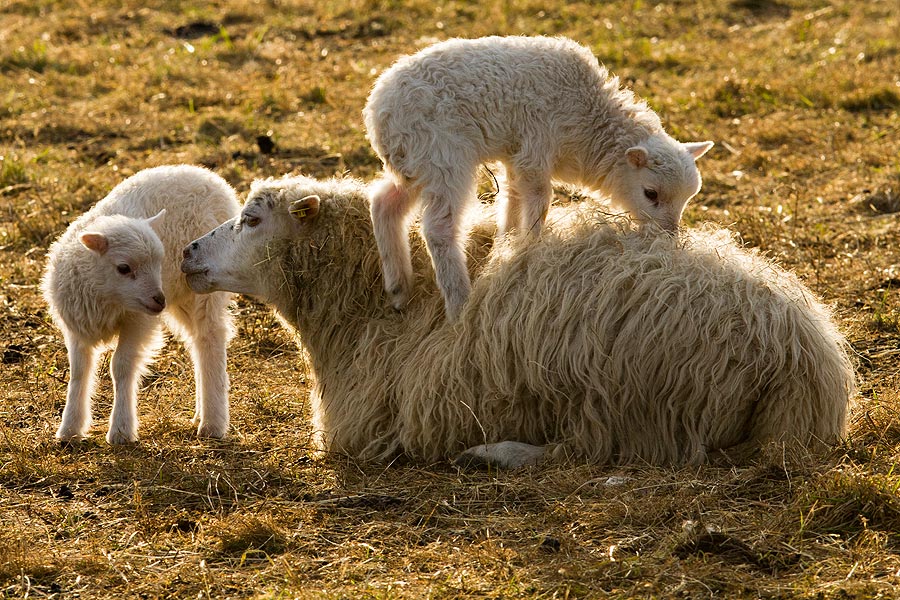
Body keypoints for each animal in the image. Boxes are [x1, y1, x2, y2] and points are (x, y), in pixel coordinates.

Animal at [42, 164, 241, 446]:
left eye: (159, 262)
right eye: (124, 268)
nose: (159, 299)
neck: (108, 298)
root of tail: (209, 175)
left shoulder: (138, 320)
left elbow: (121, 366)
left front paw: (121, 430)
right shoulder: (76, 326)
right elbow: (79, 372)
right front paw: (69, 429)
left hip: (204, 284)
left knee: (210, 337)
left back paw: (212, 423)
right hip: (182, 296)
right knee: (196, 343)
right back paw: (199, 414)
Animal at [179, 176, 856, 472]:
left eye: (253, 220)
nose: (187, 253)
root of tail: (808, 362)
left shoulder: (372, 421)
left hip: (629, 394)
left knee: (589, 454)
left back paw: (494, 453)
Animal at [362, 35, 712, 322]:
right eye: (651, 193)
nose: (667, 238)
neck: (589, 116)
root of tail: (379, 115)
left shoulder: (517, 156)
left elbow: (512, 201)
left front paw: (506, 249)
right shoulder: (537, 145)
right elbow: (540, 202)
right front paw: (530, 249)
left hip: (416, 164)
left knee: (383, 202)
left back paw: (398, 288)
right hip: (443, 155)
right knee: (438, 229)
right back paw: (459, 304)